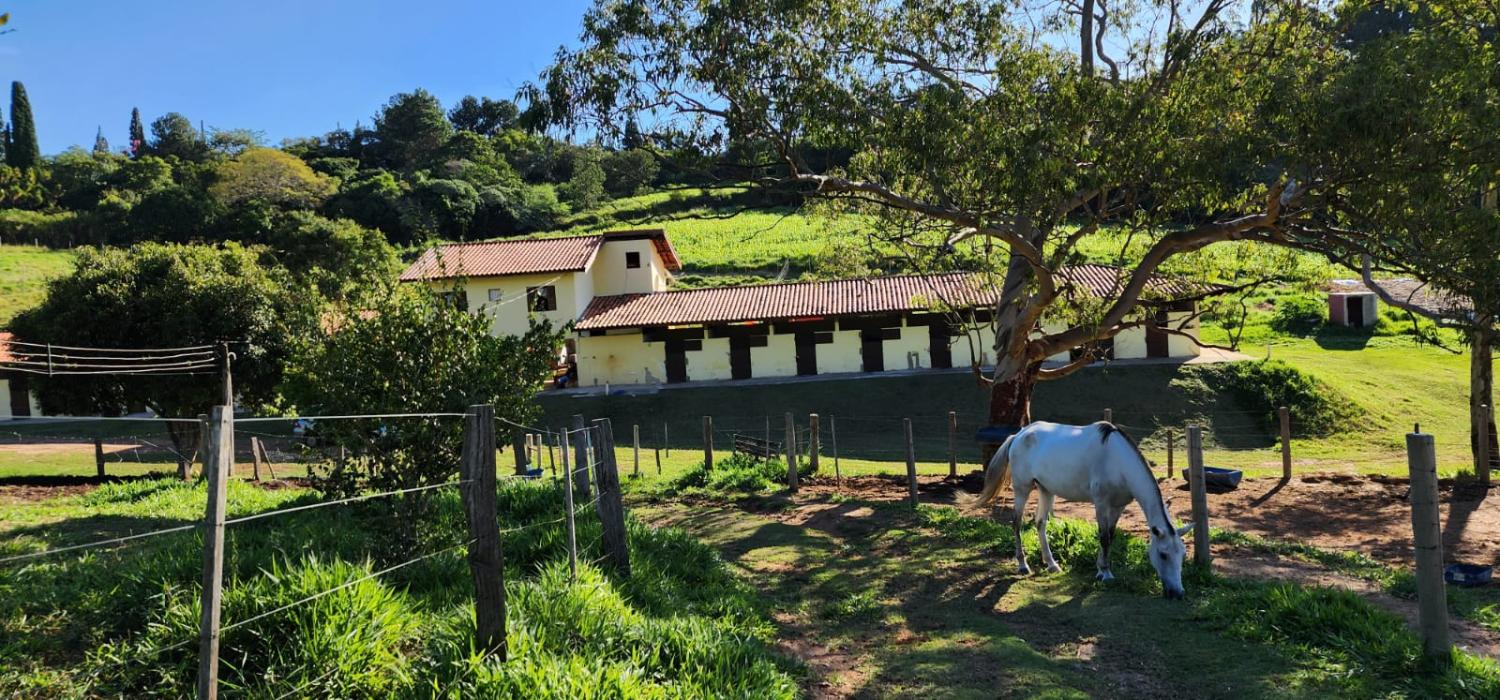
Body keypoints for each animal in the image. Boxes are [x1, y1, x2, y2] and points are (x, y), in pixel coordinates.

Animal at [972, 419, 1194, 599]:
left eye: (1182, 555)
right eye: (1163, 554)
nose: (1178, 593)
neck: (1116, 460)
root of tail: (1018, 435)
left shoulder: (1118, 506)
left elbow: (1110, 536)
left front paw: (1100, 569)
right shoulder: (1101, 503)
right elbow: (1103, 536)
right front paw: (1105, 573)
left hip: (1046, 489)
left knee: (1040, 523)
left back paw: (1051, 564)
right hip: (1022, 488)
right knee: (1016, 522)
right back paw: (1022, 565)